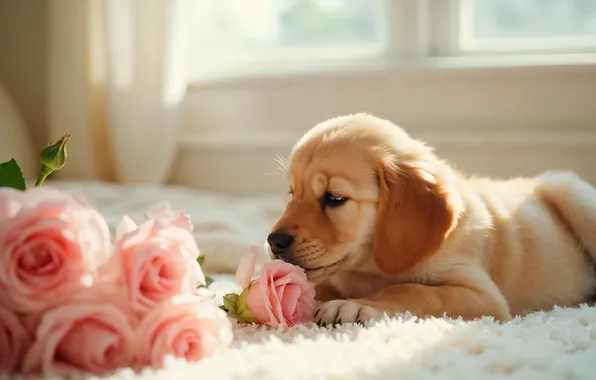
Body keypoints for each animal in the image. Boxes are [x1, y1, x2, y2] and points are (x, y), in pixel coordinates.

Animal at [266, 113, 596, 326]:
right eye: (292, 193)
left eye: (334, 198)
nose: (274, 241)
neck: (372, 266)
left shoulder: (483, 297)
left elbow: (411, 289)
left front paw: (355, 306)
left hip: (573, 195)